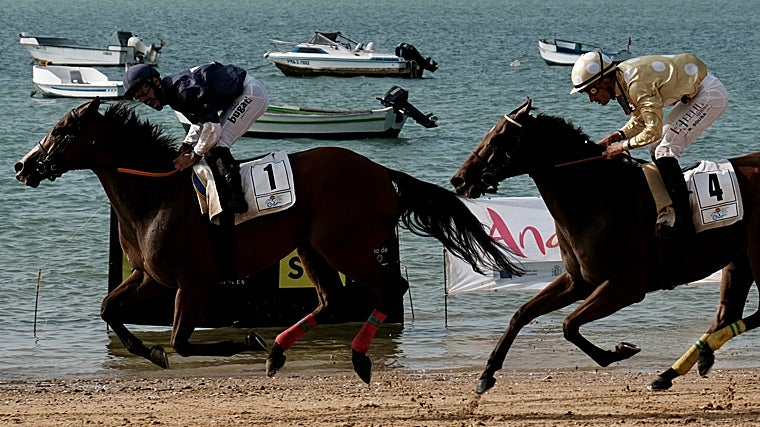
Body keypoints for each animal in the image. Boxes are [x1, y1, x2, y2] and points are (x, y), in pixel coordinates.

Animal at [14, 98, 523, 383]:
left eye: (62, 132)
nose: (22, 166)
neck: (155, 194)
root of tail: (381, 172)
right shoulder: (148, 276)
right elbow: (109, 309)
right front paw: (148, 351)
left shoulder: (192, 283)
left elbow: (182, 341)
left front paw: (248, 340)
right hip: (311, 247)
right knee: (331, 299)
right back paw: (280, 350)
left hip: (344, 246)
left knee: (388, 287)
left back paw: (352, 357)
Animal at [449, 97, 760, 394]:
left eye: (498, 137)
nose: (459, 179)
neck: (596, 196)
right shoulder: (578, 280)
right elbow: (521, 314)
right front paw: (487, 374)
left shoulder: (625, 287)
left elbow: (569, 324)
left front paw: (619, 351)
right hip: (738, 261)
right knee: (726, 315)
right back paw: (677, 370)